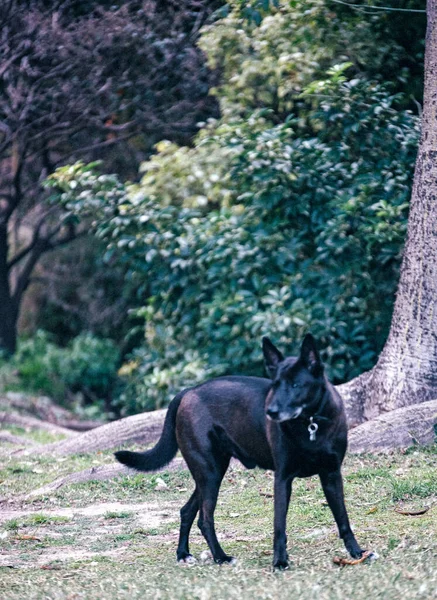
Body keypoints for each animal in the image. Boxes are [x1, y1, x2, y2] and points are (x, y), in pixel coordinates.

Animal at [115, 336, 364, 568]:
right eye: (274, 384)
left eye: (295, 385)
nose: (270, 412)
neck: (311, 424)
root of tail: (188, 391)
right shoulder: (282, 479)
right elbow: (279, 525)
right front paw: (280, 561)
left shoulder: (331, 475)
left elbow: (343, 519)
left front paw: (356, 552)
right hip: (210, 473)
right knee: (205, 519)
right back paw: (221, 557)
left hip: (210, 473)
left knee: (186, 511)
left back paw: (183, 554)